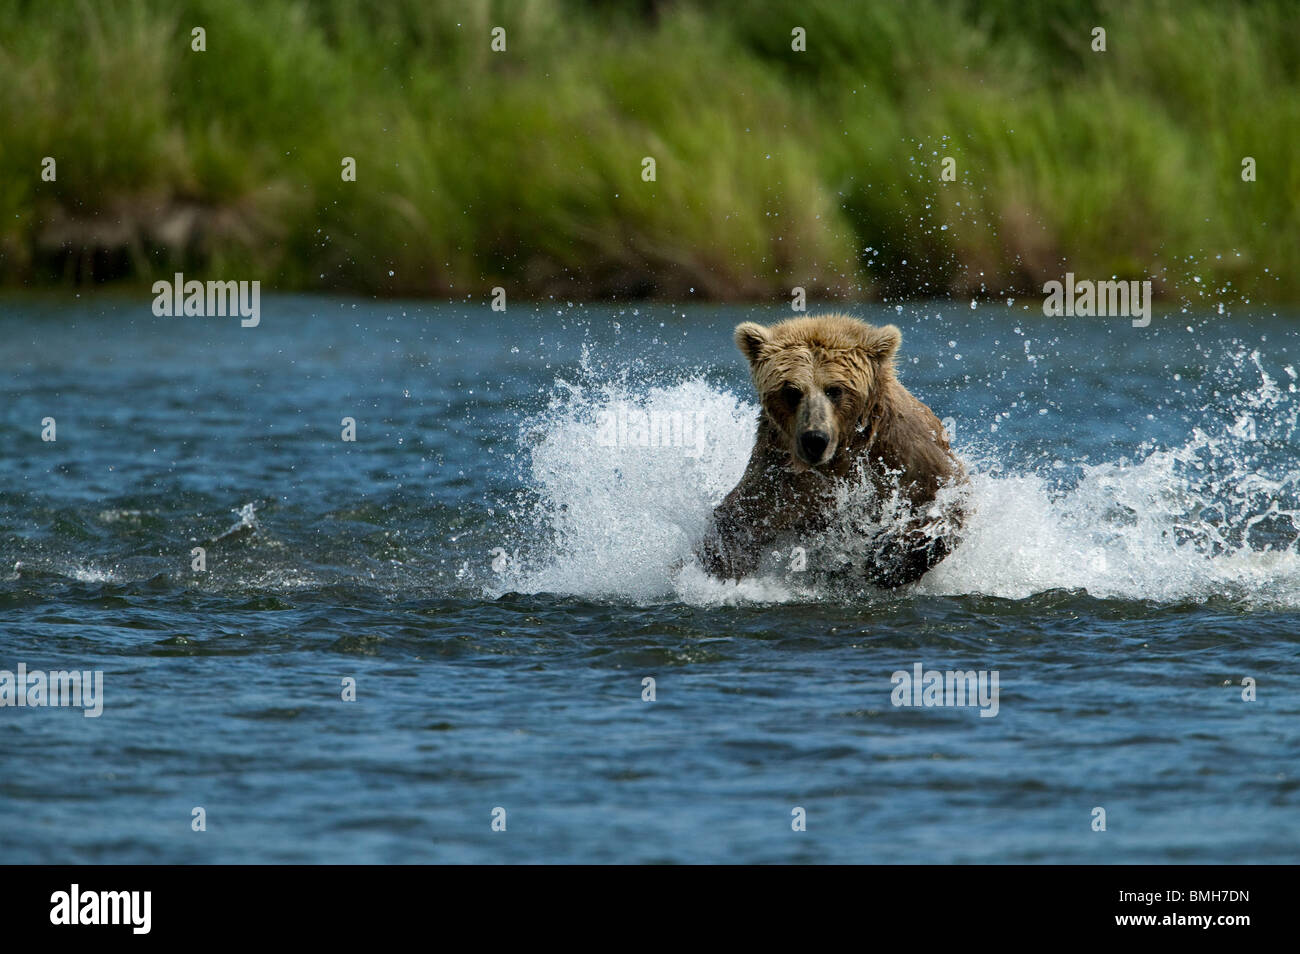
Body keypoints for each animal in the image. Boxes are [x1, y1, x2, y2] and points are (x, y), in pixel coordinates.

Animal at [702, 314, 967, 587]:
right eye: (792, 391)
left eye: (834, 389)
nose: (815, 439)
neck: (840, 457)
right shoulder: (779, 478)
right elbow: (739, 520)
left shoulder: (902, 452)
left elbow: (944, 495)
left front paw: (888, 558)